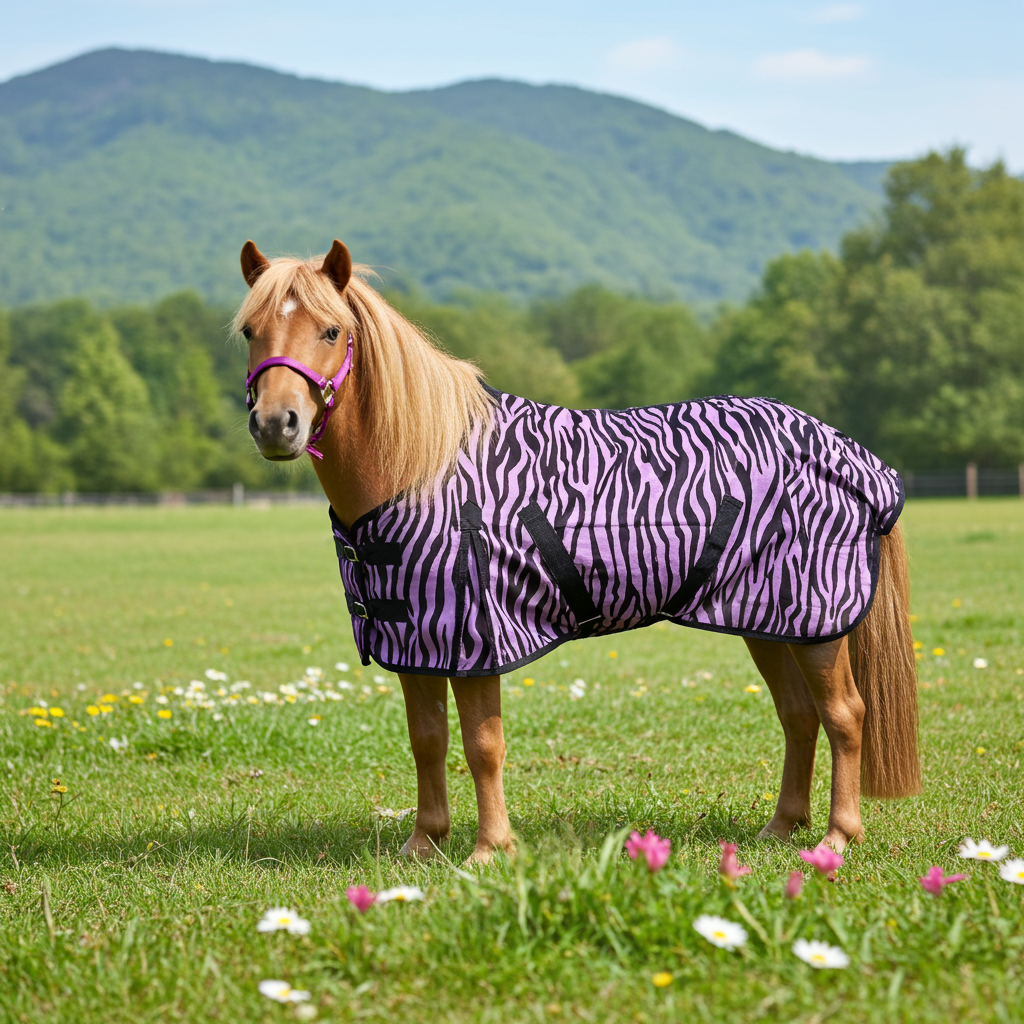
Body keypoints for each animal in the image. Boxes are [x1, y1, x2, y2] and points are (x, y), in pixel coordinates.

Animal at [234, 239, 921, 864]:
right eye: (249, 330)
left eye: (331, 330)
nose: (275, 424)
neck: (422, 469)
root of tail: (854, 459)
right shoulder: (415, 641)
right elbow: (427, 740)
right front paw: (424, 844)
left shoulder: (476, 639)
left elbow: (483, 746)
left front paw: (490, 850)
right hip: (767, 622)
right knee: (799, 717)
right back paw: (780, 828)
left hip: (817, 625)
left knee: (844, 715)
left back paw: (837, 837)